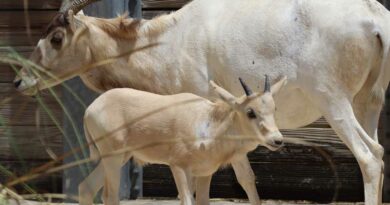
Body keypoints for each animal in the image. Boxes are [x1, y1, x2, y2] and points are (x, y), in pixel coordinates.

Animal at [79, 77, 286, 205]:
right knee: (110, 196)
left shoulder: (205, 172)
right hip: (112, 158)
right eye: (250, 112)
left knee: (86, 187)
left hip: (121, 157)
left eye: (274, 109)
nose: (277, 140)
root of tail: (90, 109)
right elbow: (187, 201)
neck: (208, 123)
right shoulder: (178, 166)